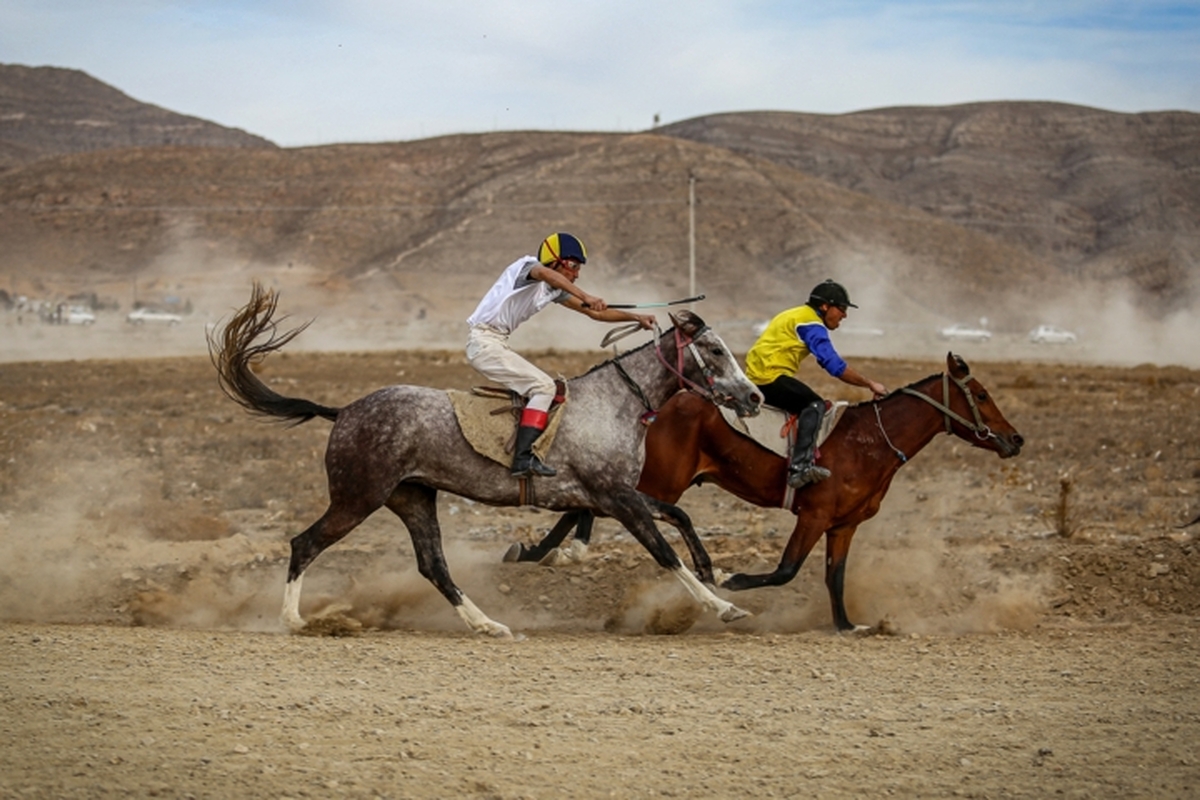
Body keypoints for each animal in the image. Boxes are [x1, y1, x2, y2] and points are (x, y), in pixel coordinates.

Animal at [211, 283, 758, 638]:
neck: (614, 402)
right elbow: (664, 553)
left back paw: (487, 623)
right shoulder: (616, 498)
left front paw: (714, 573)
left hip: (413, 498)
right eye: (714, 349)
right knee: (304, 544)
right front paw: (723, 606)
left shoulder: (615, 495)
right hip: (357, 498)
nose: (753, 397)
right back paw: (296, 620)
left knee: (433, 565)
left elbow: (679, 516)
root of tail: (343, 410)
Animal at [511, 355, 1027, 633]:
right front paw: (733, 579)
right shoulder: (813, 516)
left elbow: (834, 577)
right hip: (657, 478)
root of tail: (658, 406)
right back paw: (554, 551)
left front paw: (847, 625)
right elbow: (785, 570)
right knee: (593, 507)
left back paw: (538, 551)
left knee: (588, 505)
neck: (871, 441)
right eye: (981, 395)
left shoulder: (844, 524)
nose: (1016, 438)